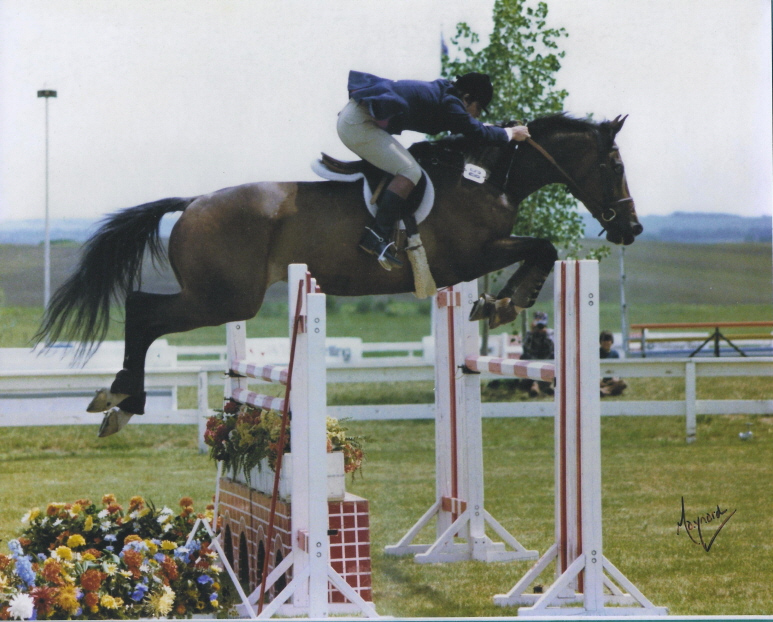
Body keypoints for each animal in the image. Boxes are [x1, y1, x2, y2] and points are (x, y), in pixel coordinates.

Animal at [33, 112, 640, 436]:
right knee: (142, 310)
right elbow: (543, 247)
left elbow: (540, 248)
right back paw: (124, 401)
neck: (489, 176)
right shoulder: (469, 257)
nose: (631, 228)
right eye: (613, 165)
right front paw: (505, 301)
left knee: (143, 310)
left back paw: (119, 399)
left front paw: (498, 302)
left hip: (221, 299)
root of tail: (193, 203)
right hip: (223, 299)